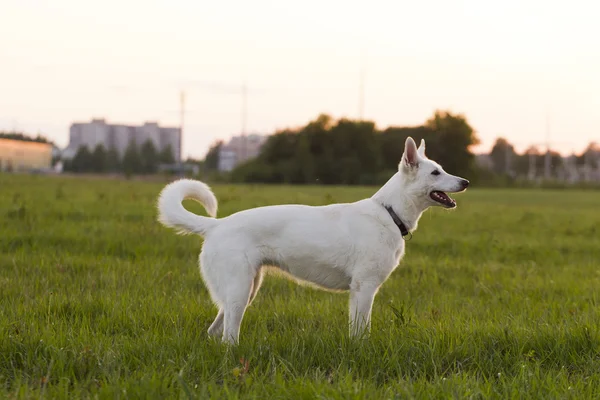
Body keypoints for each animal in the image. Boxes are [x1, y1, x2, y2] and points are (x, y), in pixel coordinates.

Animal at [156, 138, 468, 344]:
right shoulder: (365, 289)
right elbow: (362, 331)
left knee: (214, 332)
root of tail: (216, 225)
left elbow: (356, 329)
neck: (389, 213)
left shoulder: (359, 293)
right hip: (239, 292)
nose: (465, 182)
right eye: (436, 172)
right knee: (228, 336)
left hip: (246, 291)